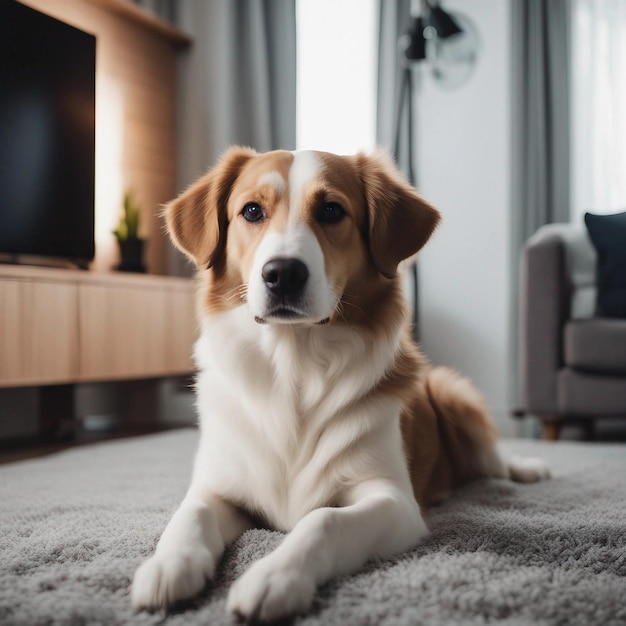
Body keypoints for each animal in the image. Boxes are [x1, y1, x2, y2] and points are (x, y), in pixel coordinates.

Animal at [132, 146, 544, 620]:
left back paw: (527, 468)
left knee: (495, 461)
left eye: (331, 210)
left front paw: (274, 577)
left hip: (452, 394)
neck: (293, 367)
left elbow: (323, 520)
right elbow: (190, 513)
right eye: (251, 211)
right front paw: (168, 565)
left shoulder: (394, 501)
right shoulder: (219, 485)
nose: (283, 274)